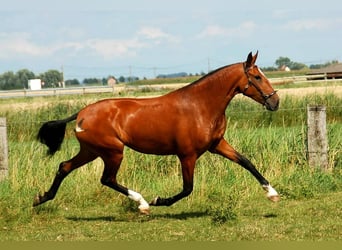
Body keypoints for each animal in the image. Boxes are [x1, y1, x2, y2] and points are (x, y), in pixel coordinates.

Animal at [33, 51, 280, 214]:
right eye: (257, 77)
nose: (275, 102)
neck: (201, 106)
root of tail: (82, 114)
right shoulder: (187, 155)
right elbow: (187, 188)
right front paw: (158, 200)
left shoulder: (217, 144)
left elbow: (247, 162)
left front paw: (272, 193)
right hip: (113, 151)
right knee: (107, 179)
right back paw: (142, 203)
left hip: (92, 151)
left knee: (64, 167)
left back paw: (41, 198)